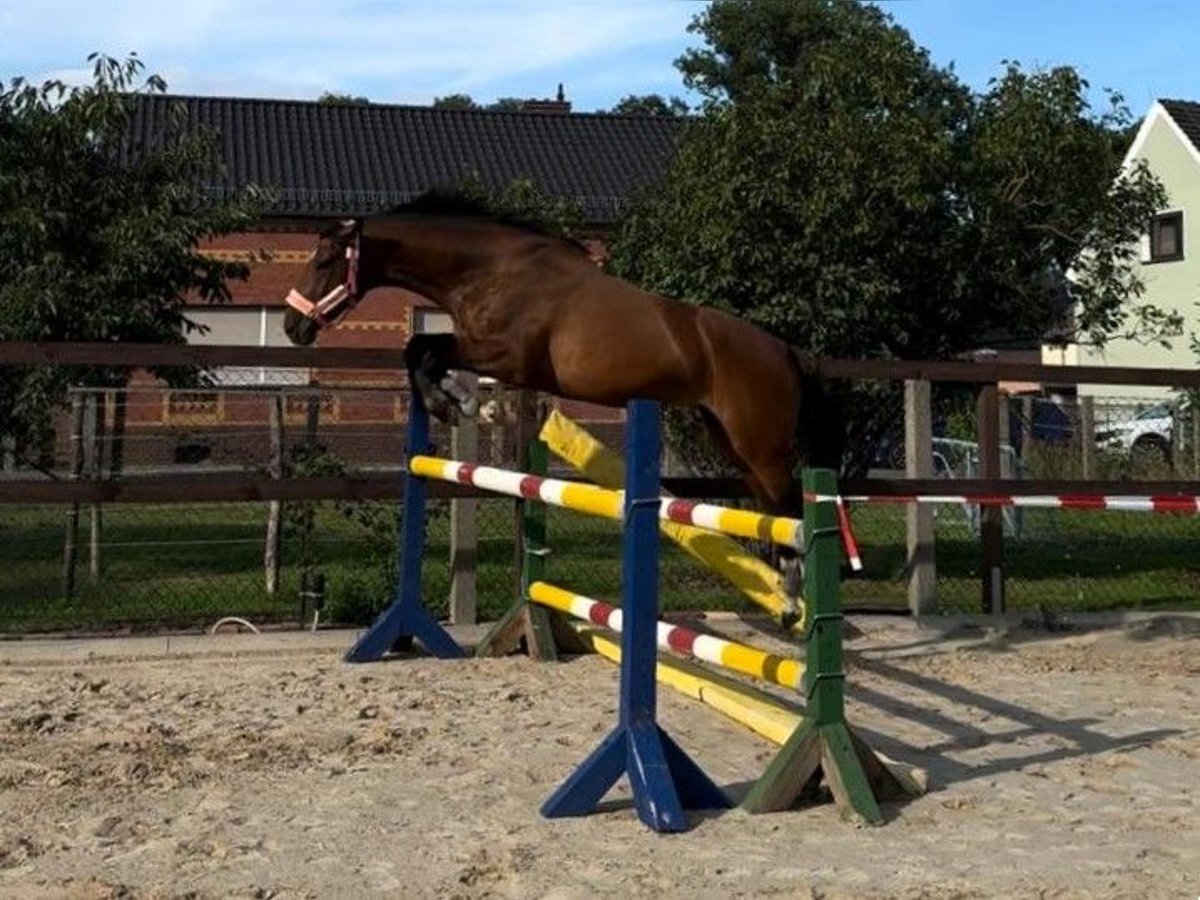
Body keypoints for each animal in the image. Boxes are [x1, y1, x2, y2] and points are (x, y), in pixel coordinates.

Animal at [283, 190, 844, 619]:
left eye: (325, 260)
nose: (293, 326)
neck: (491, 271)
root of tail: (785, 352)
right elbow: (421, 352)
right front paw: (460, 401)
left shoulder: (506, 355)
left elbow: (425, 349)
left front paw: (453, 404)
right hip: (732, 443)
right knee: (772, 510)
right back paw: (787, 600)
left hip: (761, 445)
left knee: (793, 508)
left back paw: (795, 601)